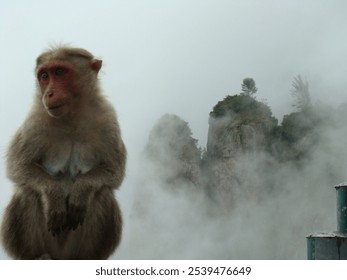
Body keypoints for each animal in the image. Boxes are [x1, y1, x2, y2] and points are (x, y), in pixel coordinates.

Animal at [0, 46, 128, 260]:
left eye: (59, 72)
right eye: (44, 76)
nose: (49, 93)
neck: (71, 117)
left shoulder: (108, 120)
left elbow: (113, 171)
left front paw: (81, 190)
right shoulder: (34, 122)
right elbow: (18, 167)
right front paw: (54, 196)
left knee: (103, 193)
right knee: (27, 190)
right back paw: (37, 256)